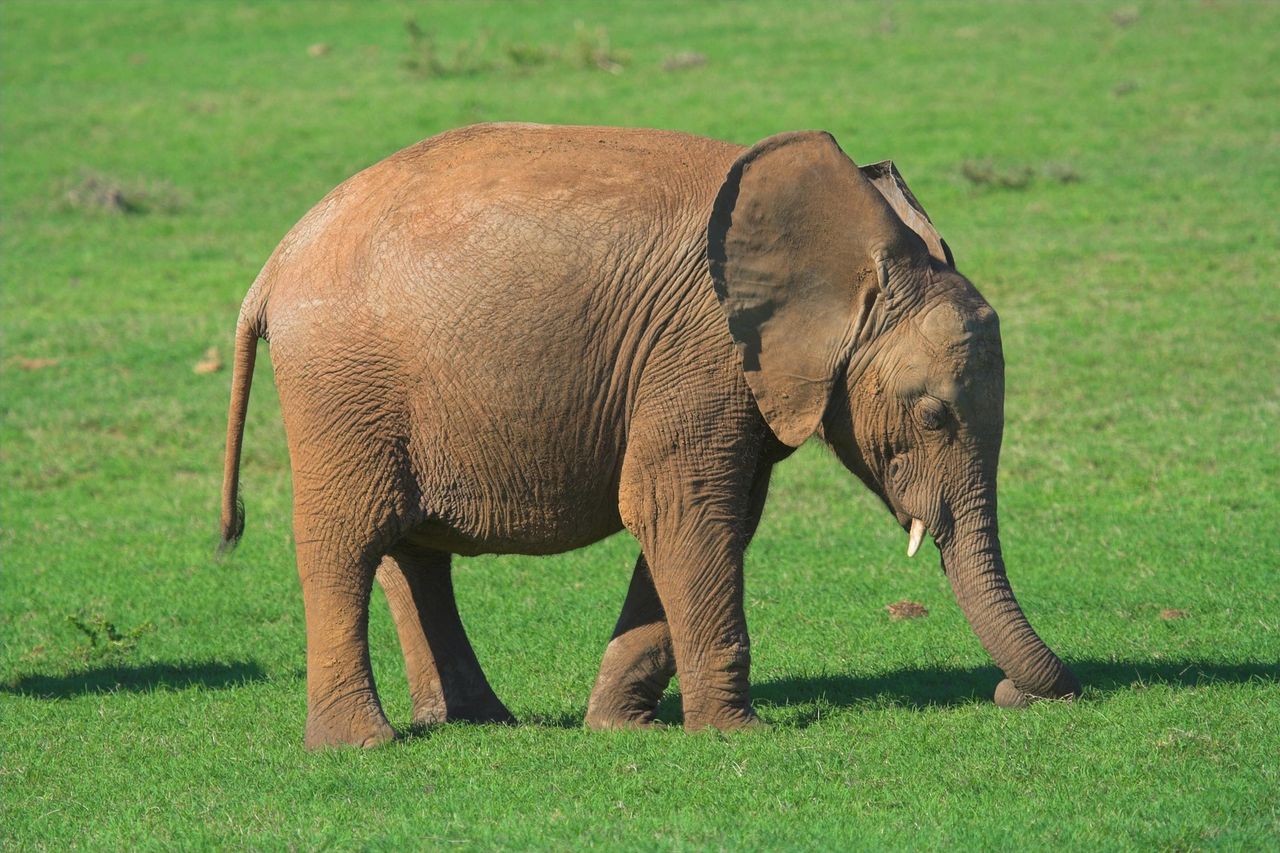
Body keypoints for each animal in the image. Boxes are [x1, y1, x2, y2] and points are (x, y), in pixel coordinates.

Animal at [218, 123, 1080, 749]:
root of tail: (274, 265)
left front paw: (618, 728)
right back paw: (360, 745)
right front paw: (740, 735)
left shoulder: (732, 372)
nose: (1013, 693)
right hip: (340, 383)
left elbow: (718, 518)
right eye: (933, 415)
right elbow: (682, 509)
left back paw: (477, 721)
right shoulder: (701, 349)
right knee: (349, 538)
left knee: (413, 546)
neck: (852, 254)